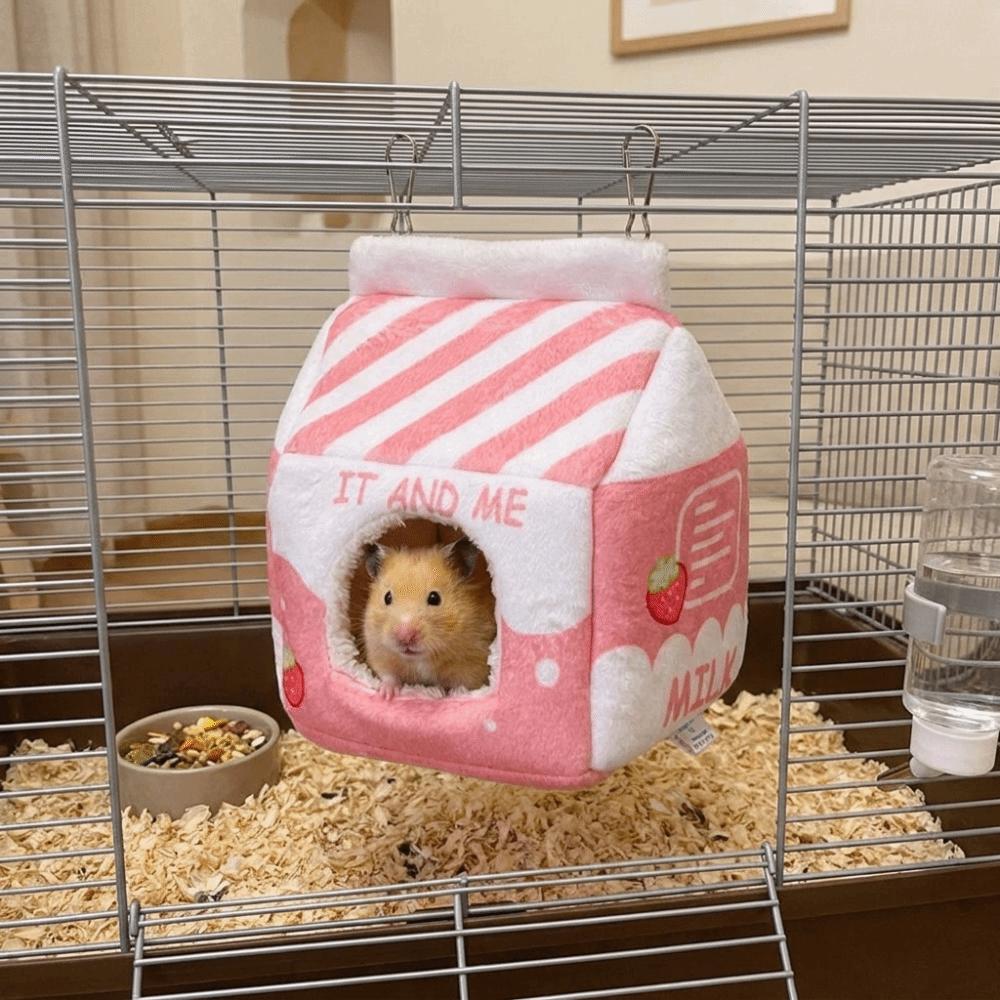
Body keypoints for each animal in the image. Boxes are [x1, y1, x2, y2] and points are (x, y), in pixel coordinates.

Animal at [362, 538, 496, 699]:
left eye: (434, 598)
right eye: (387, 597)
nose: (405, 637)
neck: (421, 659)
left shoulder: (476, 660)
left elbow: (465, 683)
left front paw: (450, 694)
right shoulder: (378, 651)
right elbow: (389, 675)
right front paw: (386, 695)